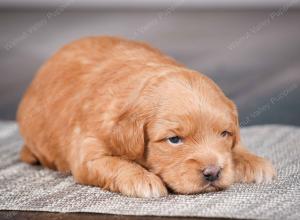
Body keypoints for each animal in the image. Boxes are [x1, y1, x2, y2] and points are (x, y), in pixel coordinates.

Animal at [17, 36, 276, 198]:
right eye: (174, 140)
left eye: (224, 133)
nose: (213, 173)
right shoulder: (87, 153)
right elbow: (114, 163)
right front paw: (142, 180)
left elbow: (237, 148)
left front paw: (253, 161)